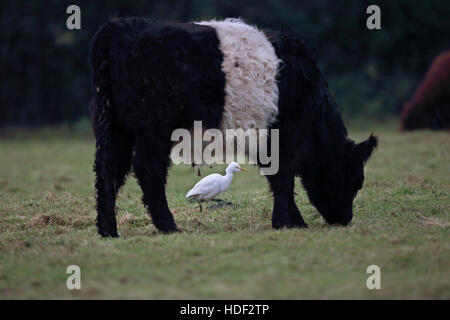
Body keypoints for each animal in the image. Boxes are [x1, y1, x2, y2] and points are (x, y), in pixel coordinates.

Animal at [89, 17, 378, 238]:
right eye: (357, 181)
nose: (344, 219)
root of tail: (117, 27)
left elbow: (278, 180)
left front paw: (292, 220)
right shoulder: (283, 135)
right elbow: (283, 178)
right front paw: (286, 221)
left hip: (115, 128)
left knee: (108, 169)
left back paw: (108, 230)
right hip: (153, 128)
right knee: (147, 171)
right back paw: (168, 226)